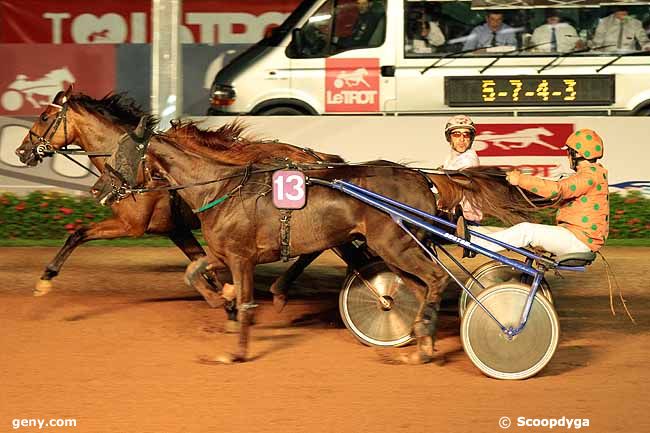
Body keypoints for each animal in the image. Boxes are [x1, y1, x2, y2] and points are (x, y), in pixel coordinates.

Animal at [13, 88, 344, 310]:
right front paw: (225, 297)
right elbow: (200, 262)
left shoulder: (131, 225)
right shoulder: (176, 229)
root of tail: (319, 158)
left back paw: (280, 289)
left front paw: (45, 279)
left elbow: (78, 234)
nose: (21, 151)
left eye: (44, 116)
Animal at [91, 115, 536, 364]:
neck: (223, 187)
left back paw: (425, 335)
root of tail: (424, 178)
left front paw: (236, 349)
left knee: (435, 278)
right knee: (420, 284)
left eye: (119, 155)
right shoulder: (224, 253)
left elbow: (246, 302)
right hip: (398, 248)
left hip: (396, 244)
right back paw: (419, 339)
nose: (98, 189)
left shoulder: (241, 257)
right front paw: (224, 300)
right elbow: (194, 271)